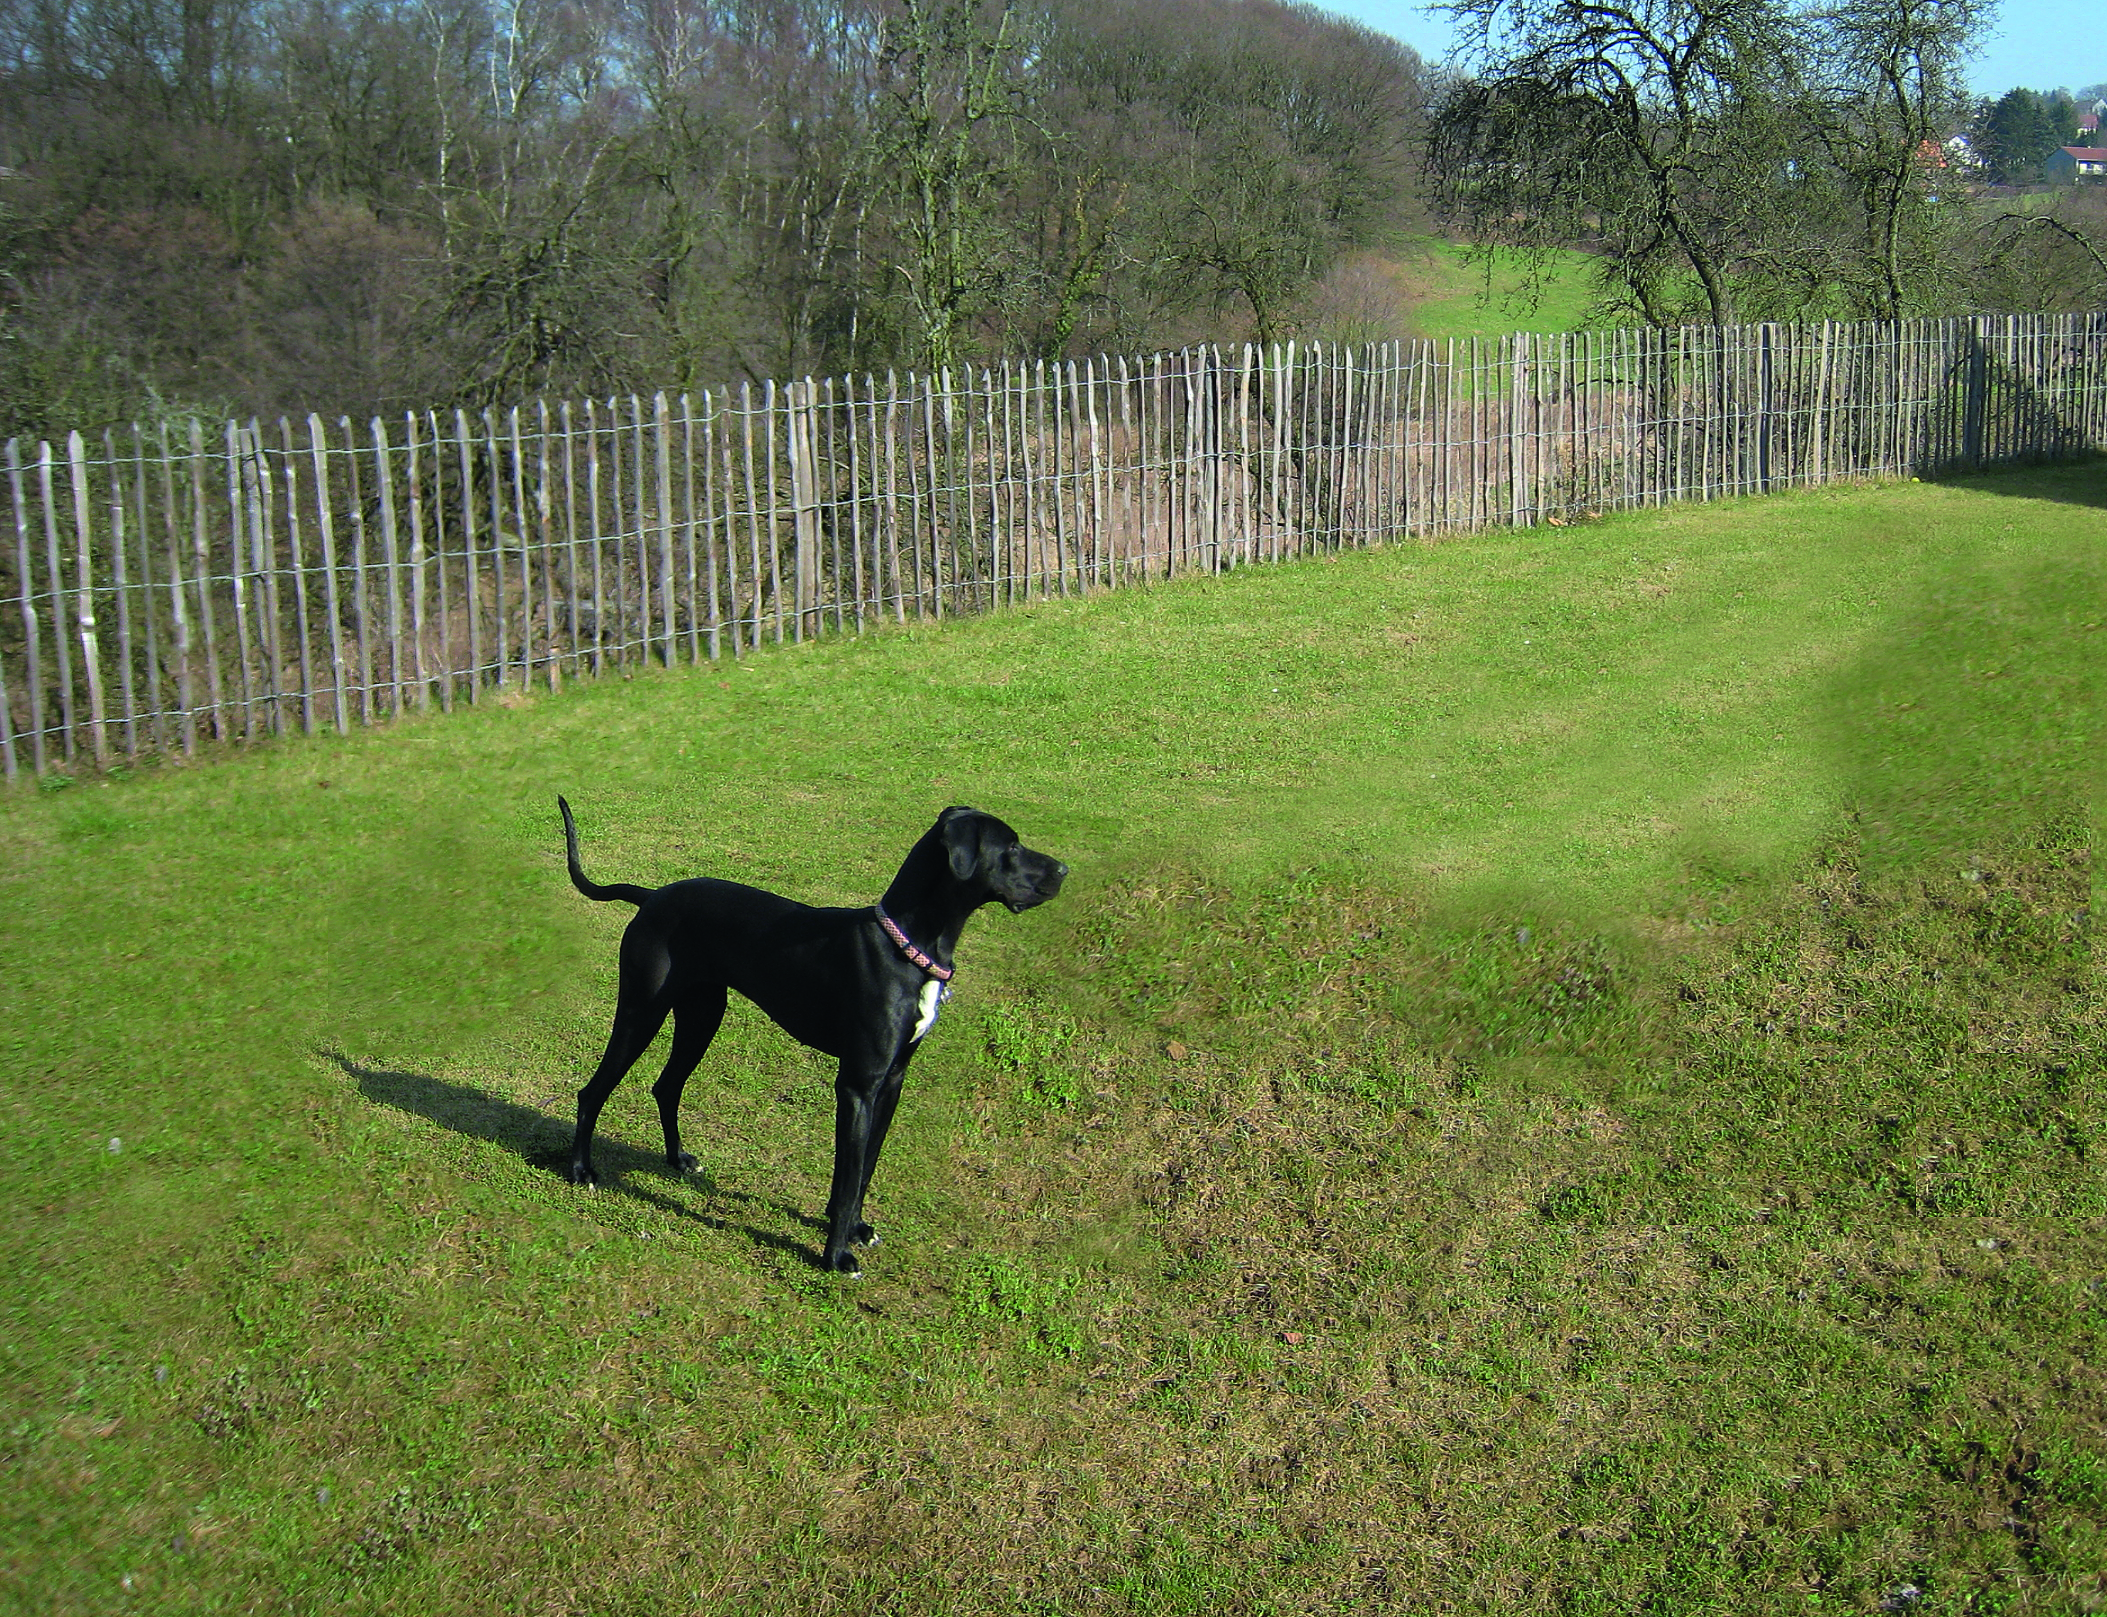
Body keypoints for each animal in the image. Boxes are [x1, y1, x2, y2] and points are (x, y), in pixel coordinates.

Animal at [556, 796, 1061, 1281]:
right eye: (1011, 847)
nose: (1063, 871)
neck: (906, 948)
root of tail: (652, 897)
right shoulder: (857, 1085)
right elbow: (847, 1177)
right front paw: (836, 1255)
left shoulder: (892, 1083)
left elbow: (863, 1171)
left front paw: (856, 1228)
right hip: (642, 1012)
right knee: (593, 1091)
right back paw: (582, 1170)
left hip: (703, 1015)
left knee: (667, 1086)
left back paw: (678, 1159)